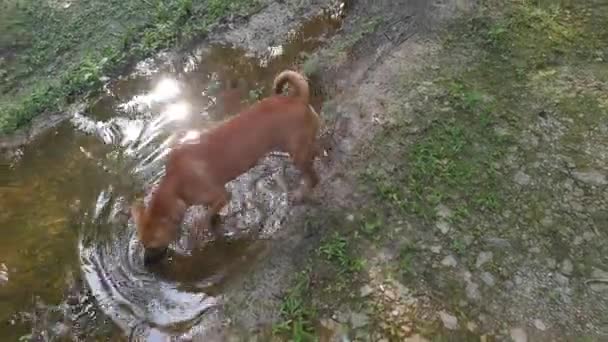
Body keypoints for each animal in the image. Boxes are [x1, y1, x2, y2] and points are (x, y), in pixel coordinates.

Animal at [131, 69, 320, 262]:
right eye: (143, 244)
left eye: (152, 246)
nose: (145, 263)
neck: (176, 183)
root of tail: (298, 99)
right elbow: (212, 215)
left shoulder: (221, 196)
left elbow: (205, 219)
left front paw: (202, 231)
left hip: (297, 154)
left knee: (313, 178)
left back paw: (301, 193)